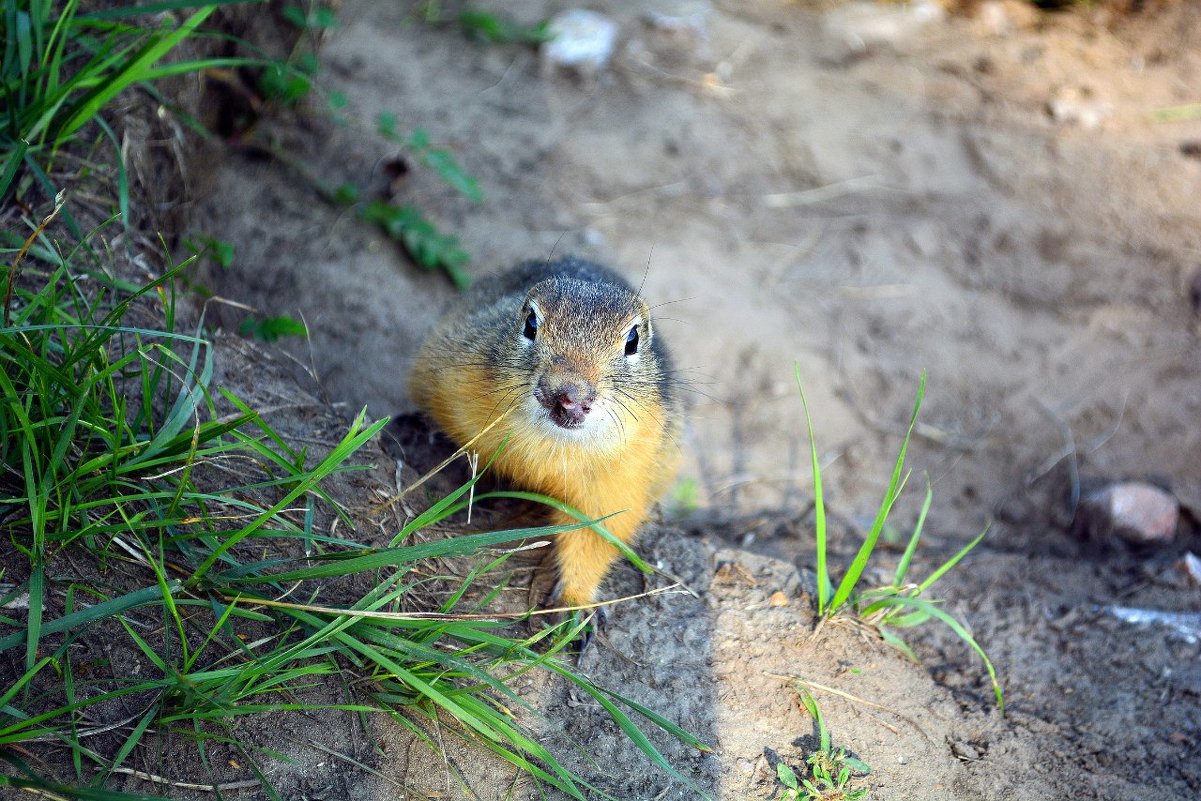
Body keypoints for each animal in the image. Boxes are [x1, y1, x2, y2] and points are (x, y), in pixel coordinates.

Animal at [410, 256, 682, 607]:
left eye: (633, 340)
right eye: (530, 323)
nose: (568, 396)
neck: (551, 442)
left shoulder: (622, 481)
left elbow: (596, 536)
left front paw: (573, 604)